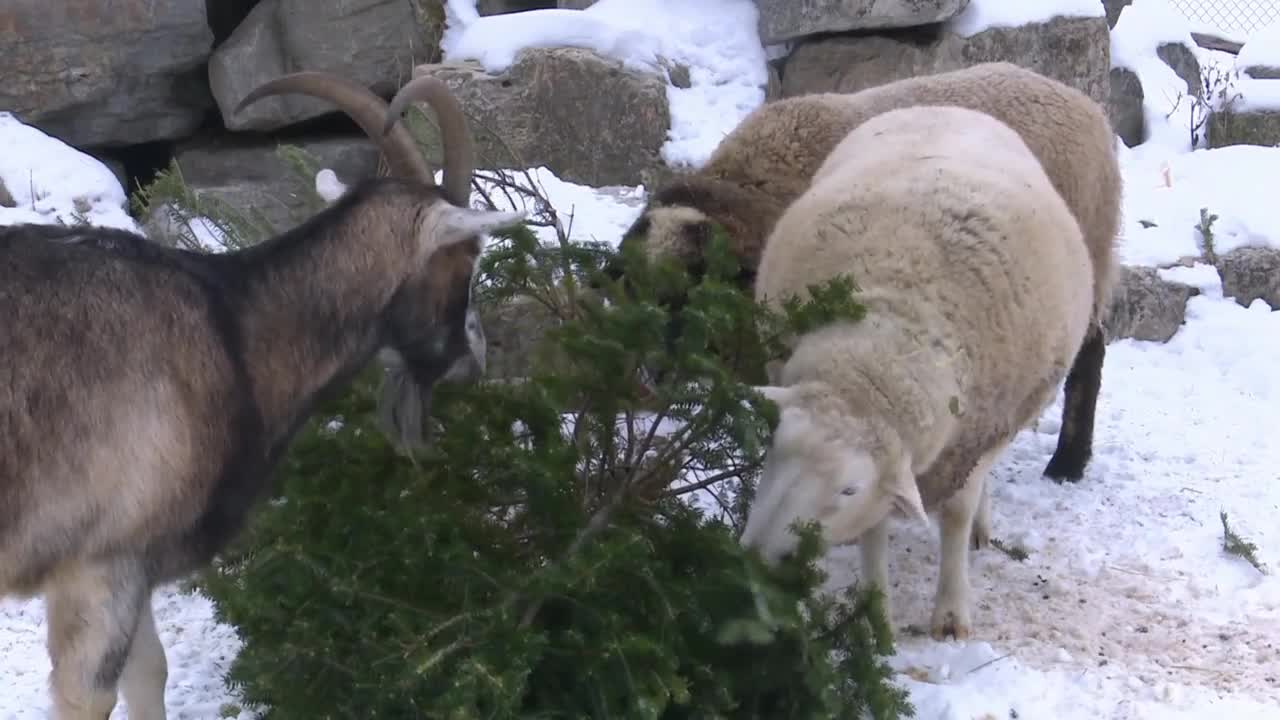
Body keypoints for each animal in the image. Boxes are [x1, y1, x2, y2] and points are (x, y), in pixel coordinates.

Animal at [0, 70, 524, 712]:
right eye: (468, 260)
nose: (474, 361)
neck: (234, 331)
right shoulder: (101, 563)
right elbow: (90, 697)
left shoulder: (135, 566)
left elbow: (150, 674)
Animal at [609, 61, 1121, 484]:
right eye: (632, 287)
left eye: (689, 293)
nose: (650, 375)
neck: (754, 182)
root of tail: (1086, 105)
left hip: (1088, 259)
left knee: (1090, 354)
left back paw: (1068, 462)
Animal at [737, 103, 1095, 635]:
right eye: (772, 451)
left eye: (848, 488)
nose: (756, 557)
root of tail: (949, 105)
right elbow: (875, 528)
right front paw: (872, 614)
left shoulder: (977, 437)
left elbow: (956, 516)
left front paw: (950, 613)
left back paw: (982, 529)